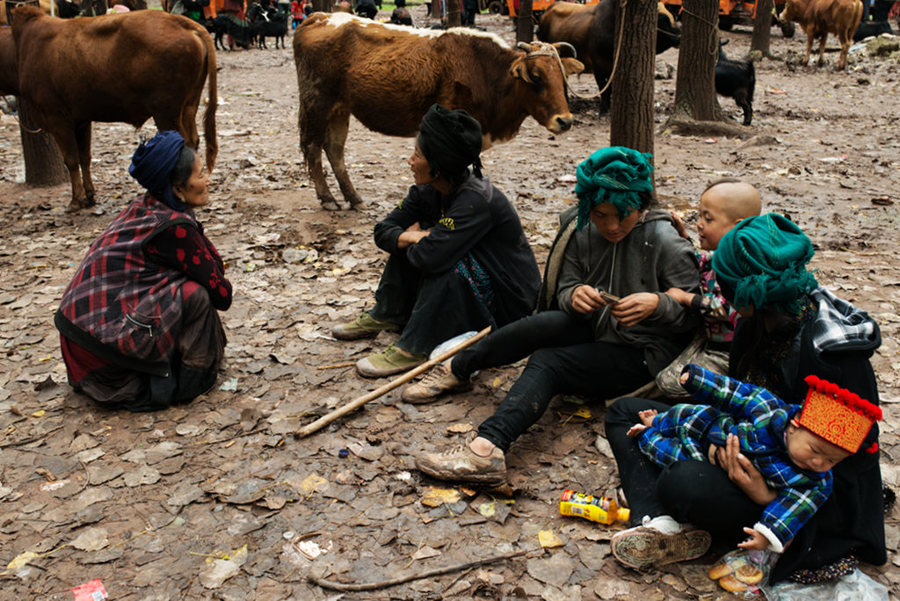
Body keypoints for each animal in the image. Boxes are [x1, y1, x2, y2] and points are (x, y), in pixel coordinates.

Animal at [11, 4, 218, 210]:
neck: (22, 47)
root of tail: (179, 21)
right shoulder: (81, 120)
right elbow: (84, 157)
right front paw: (89, 195)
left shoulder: (56, 117)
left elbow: (71, 159)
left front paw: (76, 200)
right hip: (189, 105)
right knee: (193, 140)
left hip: (166, 111)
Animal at [292, 11, 580, 211]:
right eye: (536, 77)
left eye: (562, 78)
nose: (564, 121)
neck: (485, 70)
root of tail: (320, 16)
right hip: (316, 103)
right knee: (313, 147)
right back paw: (328, 198)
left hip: (339, 110)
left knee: (334, 150)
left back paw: (354, 198)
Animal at [536, 0, 680, 111]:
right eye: (662, 20)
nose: (679, 36)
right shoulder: (598, 66)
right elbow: (603, 88)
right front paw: (603, 109)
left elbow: (610, 88)